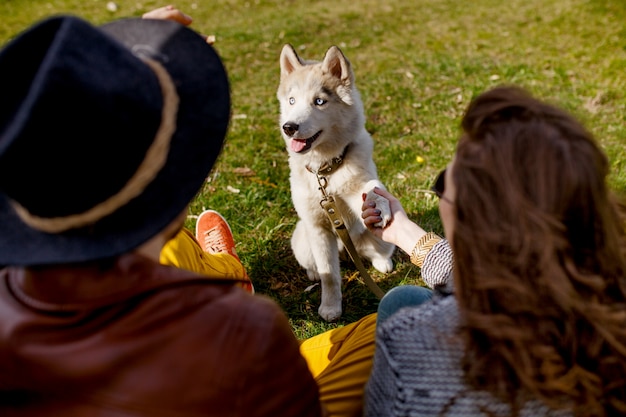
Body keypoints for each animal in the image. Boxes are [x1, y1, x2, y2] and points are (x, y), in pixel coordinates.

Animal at [278, 44, 394, 320]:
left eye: (319, 101)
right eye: (292, 100)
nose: (289, 127)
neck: (326, 171)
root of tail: (346, 250)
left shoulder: (359, 184)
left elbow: (372, 188)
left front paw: (379, 205)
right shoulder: (317, 228)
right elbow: (329, 275)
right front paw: (331, 308)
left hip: (376, 239)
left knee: (378, 252)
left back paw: (383, 262)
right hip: (302, 240)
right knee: (315, 265)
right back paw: (312, 273)